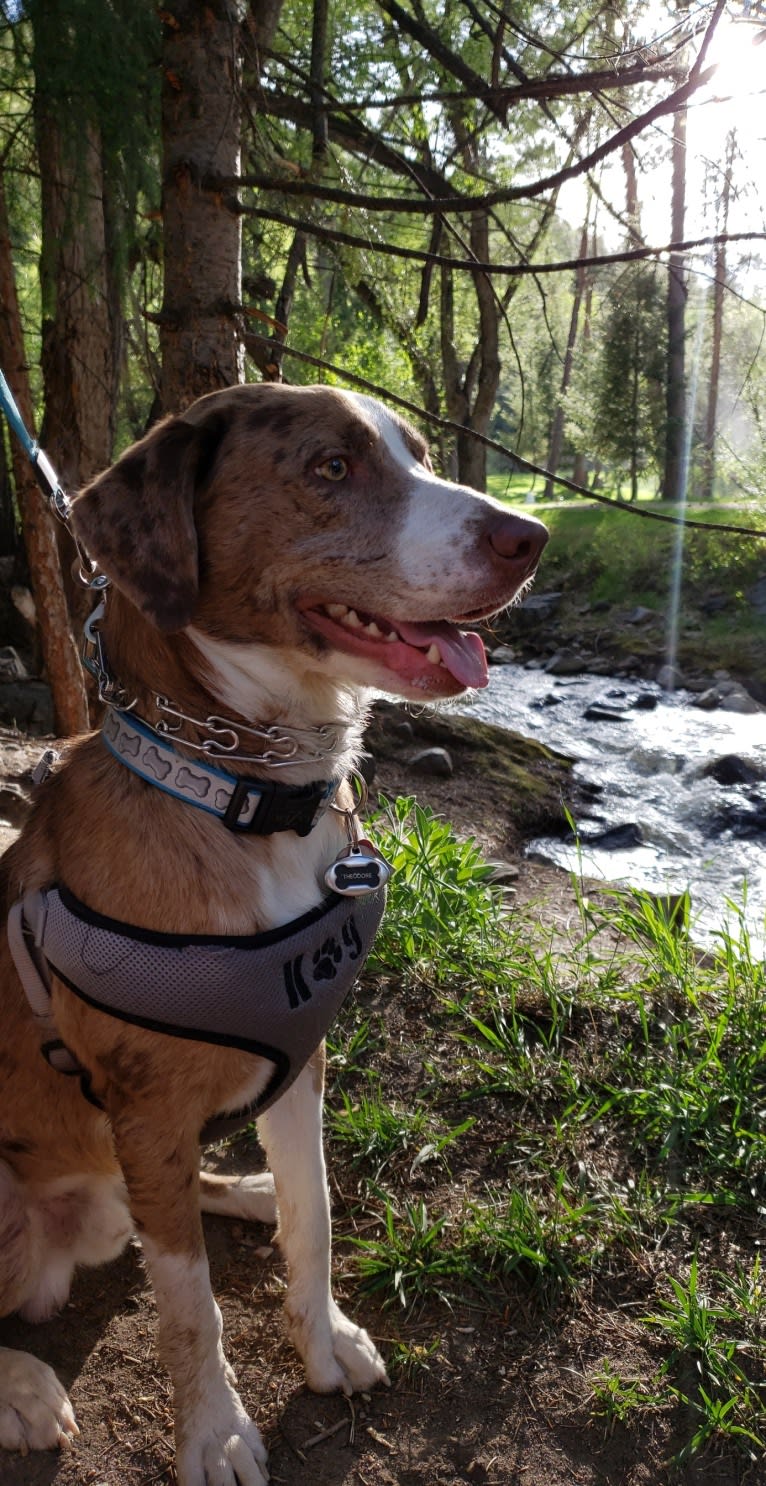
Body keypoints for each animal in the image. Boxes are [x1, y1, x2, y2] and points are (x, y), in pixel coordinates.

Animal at [0, 386, 544, 1486]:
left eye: (419, 454)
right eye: (330, 467)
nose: (532, 536)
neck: (252, 800)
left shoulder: (302, 1057)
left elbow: (317, 1213)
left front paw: (323, 1340)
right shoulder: (147, 1105)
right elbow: (190, 1305)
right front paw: (214, 1431)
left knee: (167, 1202)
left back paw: (241, 1188)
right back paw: (23, 1388)